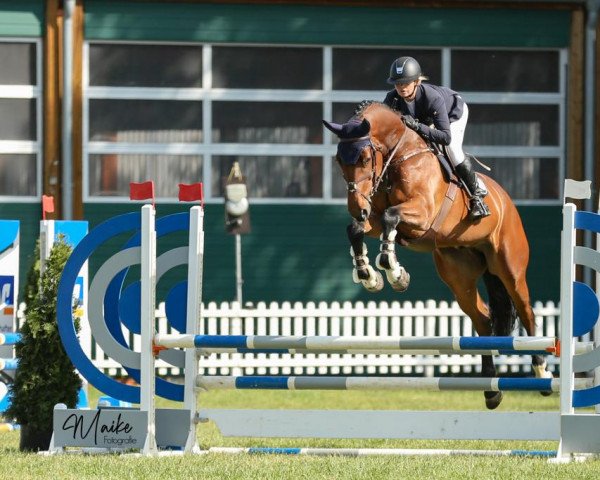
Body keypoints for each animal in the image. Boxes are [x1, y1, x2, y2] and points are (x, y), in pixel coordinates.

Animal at [326, 101, 552, 408]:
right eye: (339, 160)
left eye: (364, 157)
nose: (356, 207)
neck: (399, 157)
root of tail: (506, 200)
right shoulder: (373, 219)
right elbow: (357, 229)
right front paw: (369, 276)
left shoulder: (420, 215)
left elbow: (390, 217)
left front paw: (394, 272)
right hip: (458, 274)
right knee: (483, 319)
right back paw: (491, 390)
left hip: (511, 269)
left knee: (527, 313)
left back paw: (542, 372)